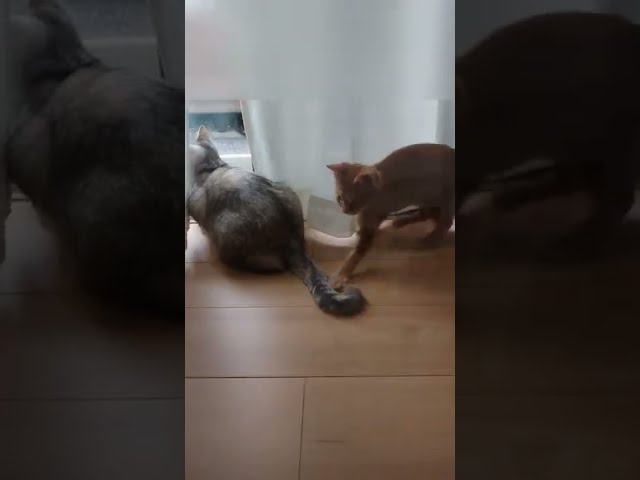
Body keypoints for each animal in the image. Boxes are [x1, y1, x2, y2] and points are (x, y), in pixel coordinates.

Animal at [327, 143, 455, 289]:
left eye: (355, 200)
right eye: (340, 199)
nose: (345, 211)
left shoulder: (371, 222)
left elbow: (357, 252)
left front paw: (341, 275)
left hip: (442, 198)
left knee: (445, 221)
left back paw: (430, 240)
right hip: (427, 199)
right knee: (428, 214)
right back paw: (400, 222)